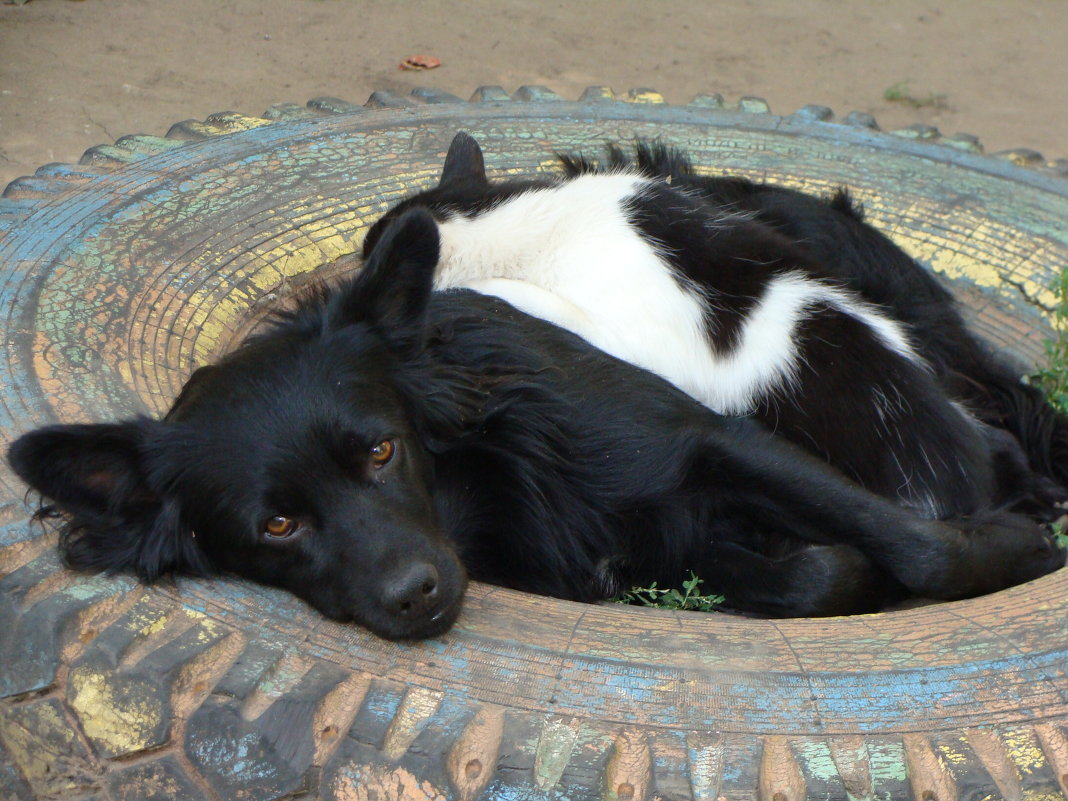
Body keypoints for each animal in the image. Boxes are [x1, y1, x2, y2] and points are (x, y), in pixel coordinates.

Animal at [6, 210, 1059, 645]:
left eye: (381, 450)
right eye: (276, 524)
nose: (416, 594)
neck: (474, 489)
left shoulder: (709, 439)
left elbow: (917, 546)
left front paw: (1013, 550)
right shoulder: (633, 553)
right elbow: (810, 573)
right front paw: (835, 572)